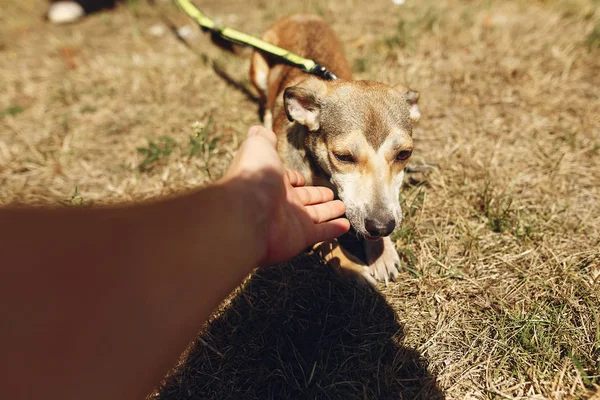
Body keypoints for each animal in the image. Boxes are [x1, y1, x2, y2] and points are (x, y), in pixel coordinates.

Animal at [246, 14, 420, 286]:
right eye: (343, 157)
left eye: (404, 154)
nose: (382, 227)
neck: (323, 175)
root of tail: (300, 15)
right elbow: (325, 238)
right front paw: (353, 269)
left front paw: (382, 253)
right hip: (257, 69)